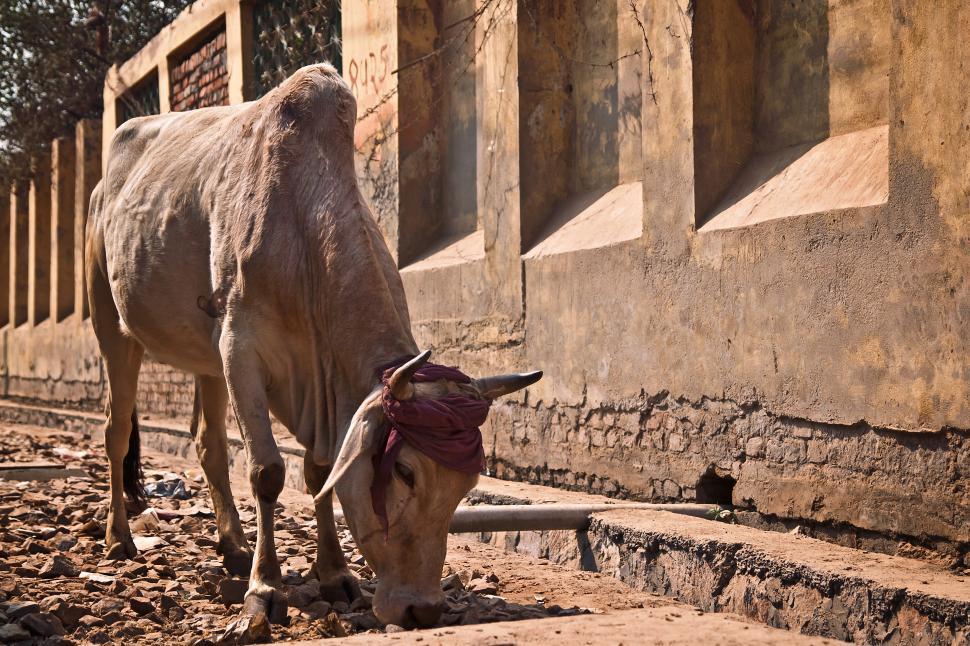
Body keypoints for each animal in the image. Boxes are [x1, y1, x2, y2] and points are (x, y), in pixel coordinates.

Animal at [86, 63, 541, 641]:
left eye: (466, 485)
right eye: (404, 471)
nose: (423, 611)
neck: (301, 229)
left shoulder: (304, 383)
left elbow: (320, 474)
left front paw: (335, 576)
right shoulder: (241, 350)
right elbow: (267, 473)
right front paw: (263, 591)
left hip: (207, 358)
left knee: (208, 444)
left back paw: (233, 547)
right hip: (113, 326)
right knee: (116, 432)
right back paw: (119, 538)